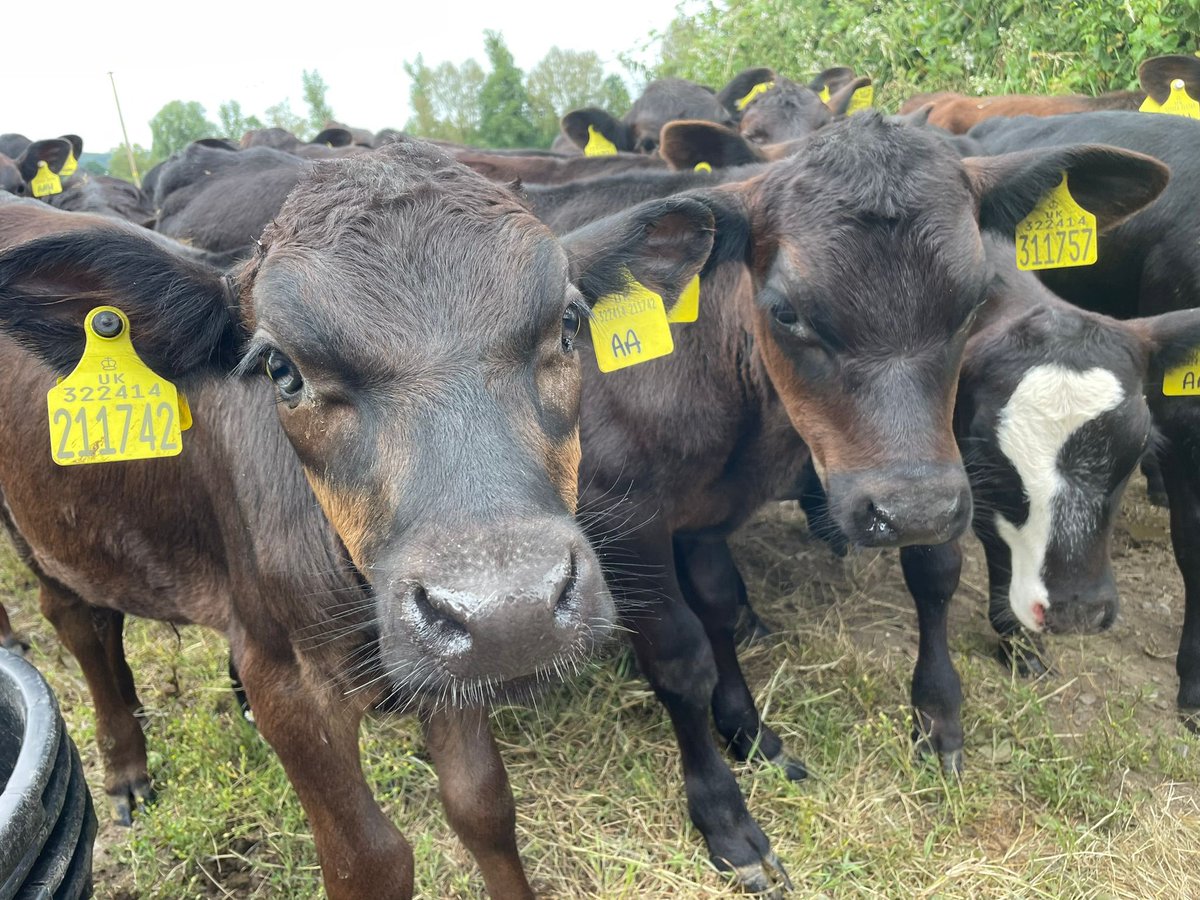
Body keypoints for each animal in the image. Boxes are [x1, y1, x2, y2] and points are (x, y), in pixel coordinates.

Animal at [0, 140, 717, 900]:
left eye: (570, 326)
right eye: (282, 370)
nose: (511, 612)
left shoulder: (447, 662)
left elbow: (484, 805)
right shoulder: (286, 680)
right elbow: (366, 859)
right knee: (79, 619)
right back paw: (126, 770)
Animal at [526, 112, 1169, 891]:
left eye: (974, 302)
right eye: (785, 311)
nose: (914, 511)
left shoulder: (707, 514)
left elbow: (722, 615)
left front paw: (754, 736)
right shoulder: (623, 518)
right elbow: (680, 661)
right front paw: (727, 819)